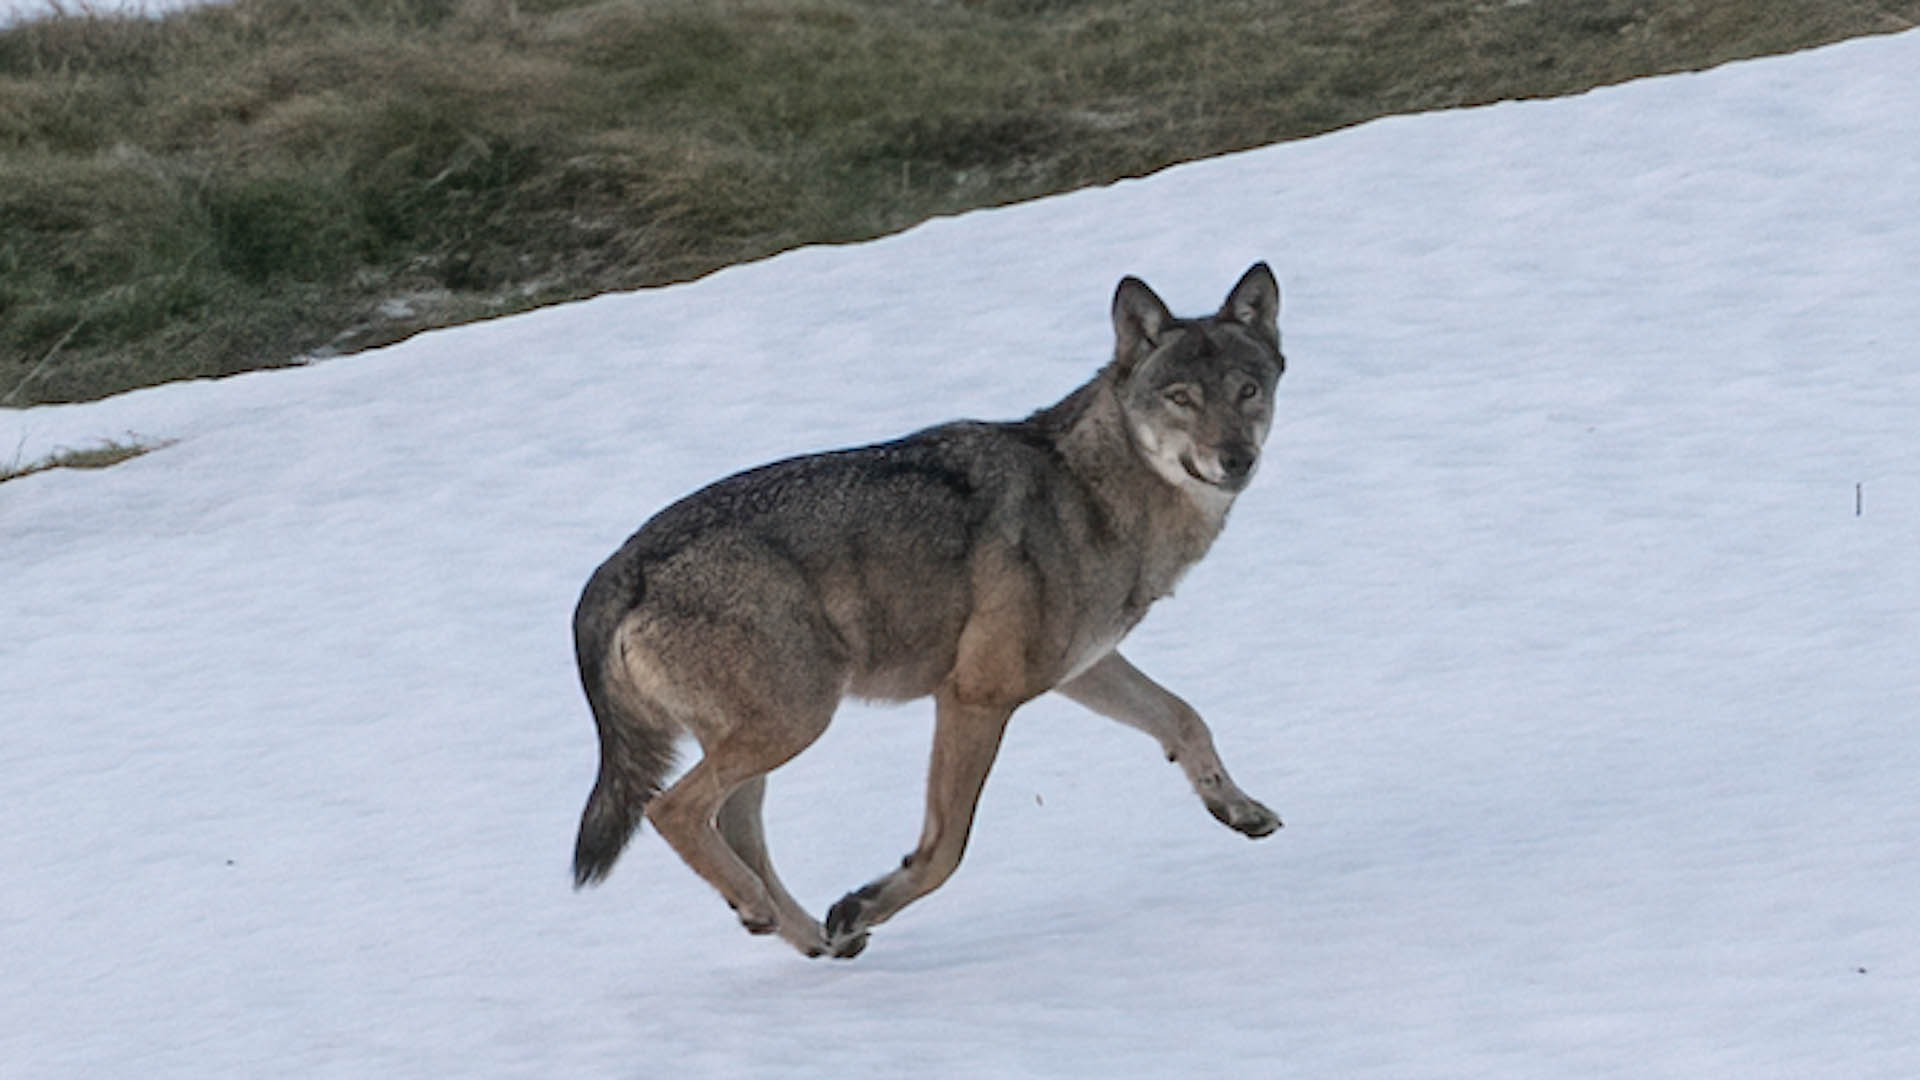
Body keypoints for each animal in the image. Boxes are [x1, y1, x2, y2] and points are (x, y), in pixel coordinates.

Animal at [568, 265, 1290, 953]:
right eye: (1182, 398)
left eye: (1247, 391)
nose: (1236, 459)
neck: (1092, 494)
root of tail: (618, 566)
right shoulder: (974, 697)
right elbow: (946, 850)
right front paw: (864, 903)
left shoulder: (1084, 669)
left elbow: (1186, 720)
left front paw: (1240, 809)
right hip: (798, 720)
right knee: (672, 810)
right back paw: (767, 910)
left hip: (772, 733)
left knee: (738, 829)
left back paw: (804, 936)